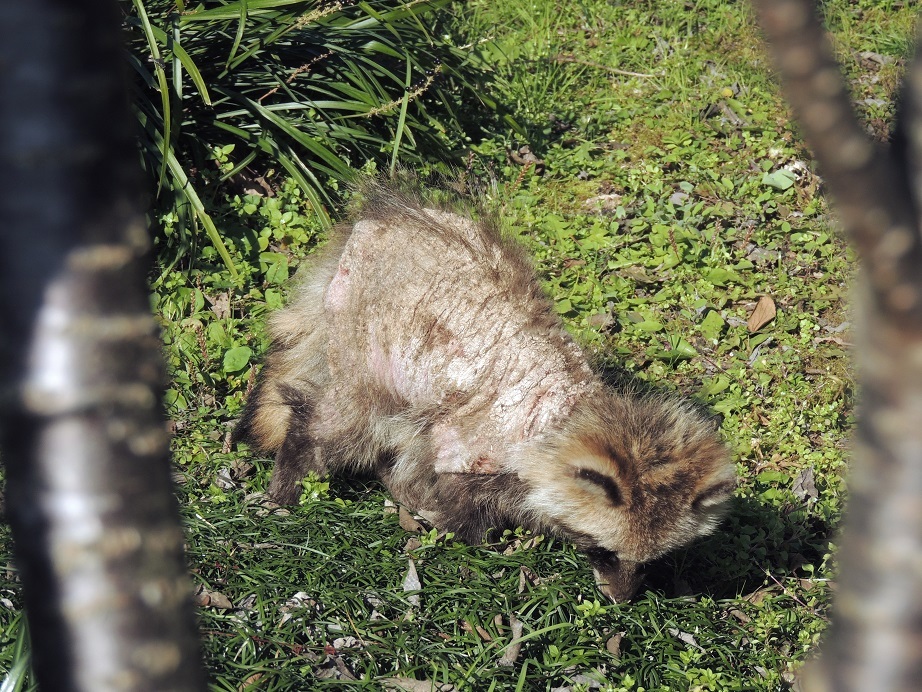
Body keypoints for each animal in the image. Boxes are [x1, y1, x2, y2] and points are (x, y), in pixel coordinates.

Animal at [235, 185, 732, 600]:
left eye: (653, 560)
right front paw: (450, 523)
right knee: (337, 422)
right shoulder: (475, 441)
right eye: (602, 549)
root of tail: (374, 224)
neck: (572, 413)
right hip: (369, 338)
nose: (620, 601)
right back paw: (291, 476)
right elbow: (457, 499)